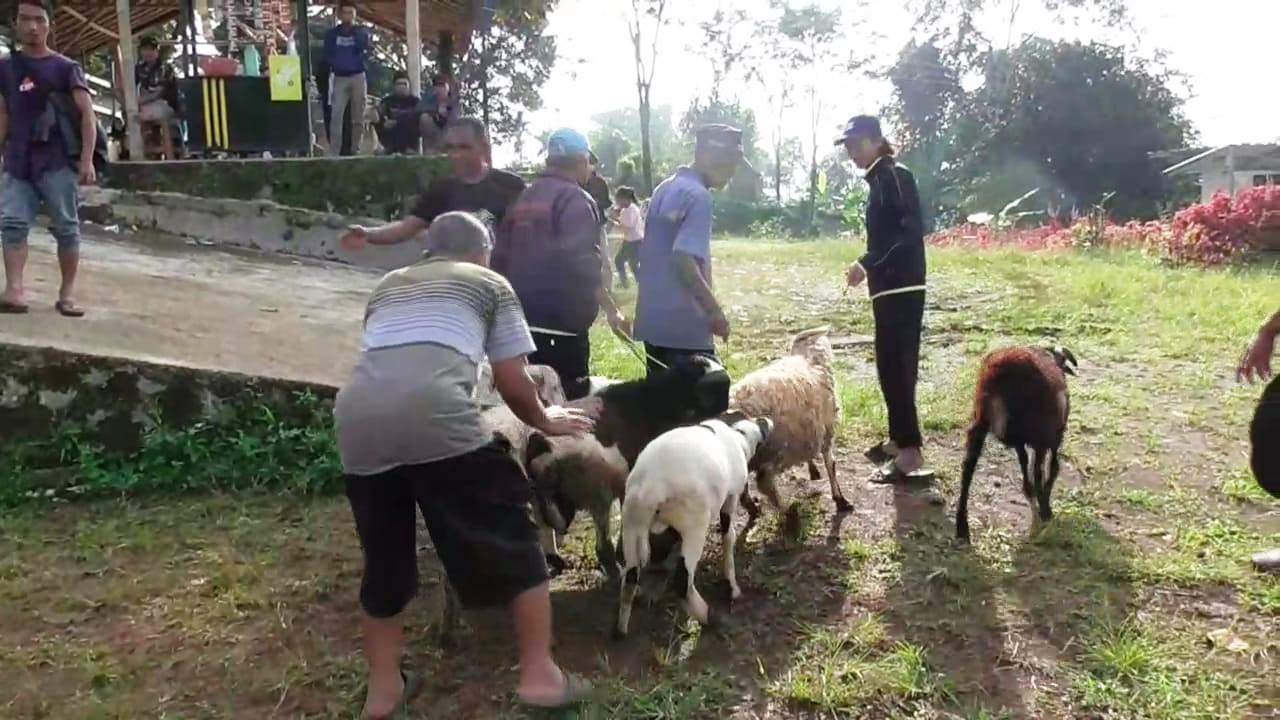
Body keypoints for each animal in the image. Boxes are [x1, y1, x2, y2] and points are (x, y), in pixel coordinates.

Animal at [614, 415, 773, 632]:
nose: (768, 421)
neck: (738, 436)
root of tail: (648, 489)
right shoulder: (730, 498)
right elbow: (728, 536)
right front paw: (732, 587)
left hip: (632, 526)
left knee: (630, 575)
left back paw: (621, 628)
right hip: (693, 526)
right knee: (682, 581)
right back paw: (709, 617)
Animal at [732, 325, 849, 515]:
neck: (809, 359)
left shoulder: (811, 428)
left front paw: (813, 469)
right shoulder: (827, 430)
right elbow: (831, 465)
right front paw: (839, 498)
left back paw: (754, 508)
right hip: (774, 447)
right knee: (765, 482)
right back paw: (787, 511)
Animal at [957, 345, 1075, 540]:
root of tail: (998, 373)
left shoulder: (1022, 441)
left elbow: (1024, 462)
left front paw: (1029, 491)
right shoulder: (1052, 437)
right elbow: (1053, 468)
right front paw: (1044, 506)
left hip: (980, 421)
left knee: (967, 468)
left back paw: (961, 527)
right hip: (1040, 430)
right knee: (1039, 471)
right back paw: (1044, 511)